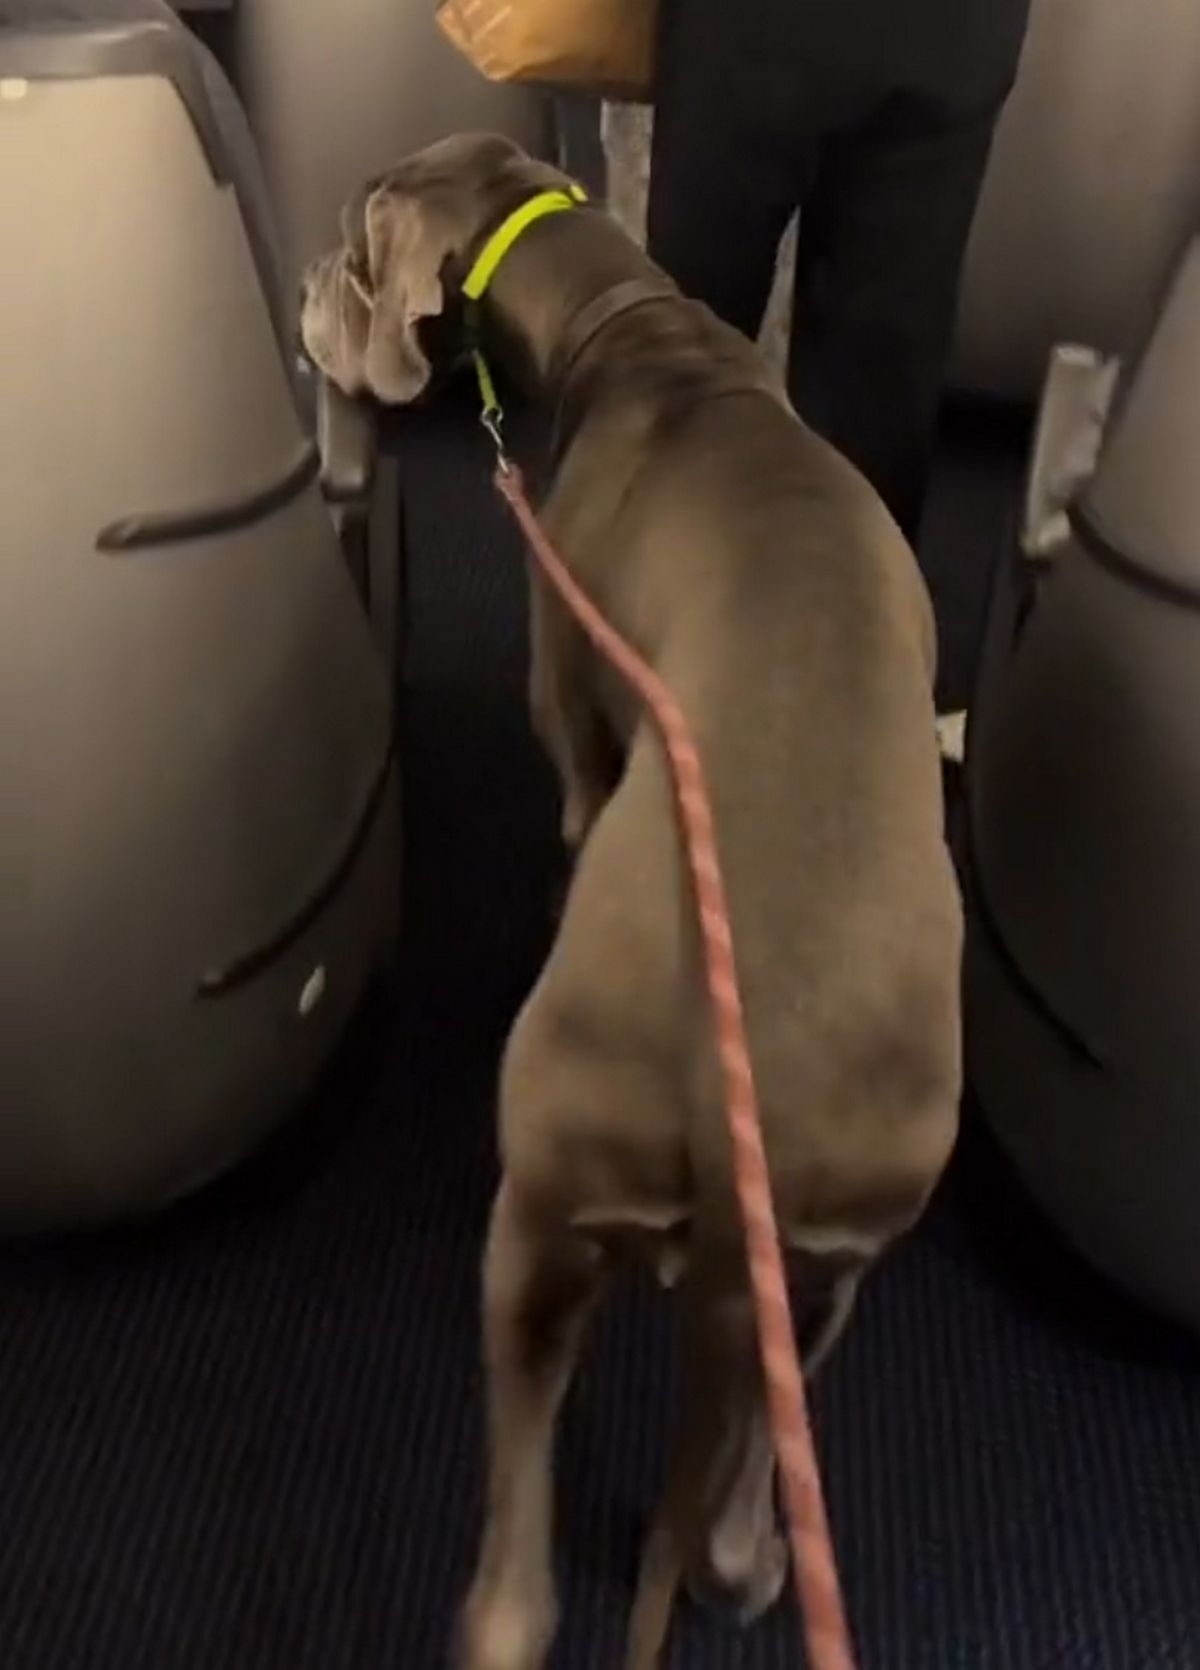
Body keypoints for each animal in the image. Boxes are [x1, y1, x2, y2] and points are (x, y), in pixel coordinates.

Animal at [302, 133, 968, 1670]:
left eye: (353, 261)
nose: (304, 297)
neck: (644, 333)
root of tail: (747, 1096)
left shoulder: (568, 700)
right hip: (832, 1263)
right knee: (728, 1500)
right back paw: (748, 1551)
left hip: (539, 1205)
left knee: (515, 1584)